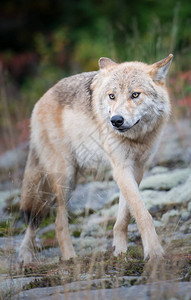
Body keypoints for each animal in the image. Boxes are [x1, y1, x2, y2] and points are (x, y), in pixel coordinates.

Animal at [18, 54, 173, 264]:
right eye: (112, 96)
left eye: (135, 95)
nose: (116, 120)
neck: (137, 138)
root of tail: (39, 102)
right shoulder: (121, 168)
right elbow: (143, 215)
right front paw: (154, 253)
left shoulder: (136, 169)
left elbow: (124, 217)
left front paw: (120, 251)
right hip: (64, 180)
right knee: (57, 223)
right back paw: (70, 258)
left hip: (67, 181)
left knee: (36, 220)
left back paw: (24, 257)